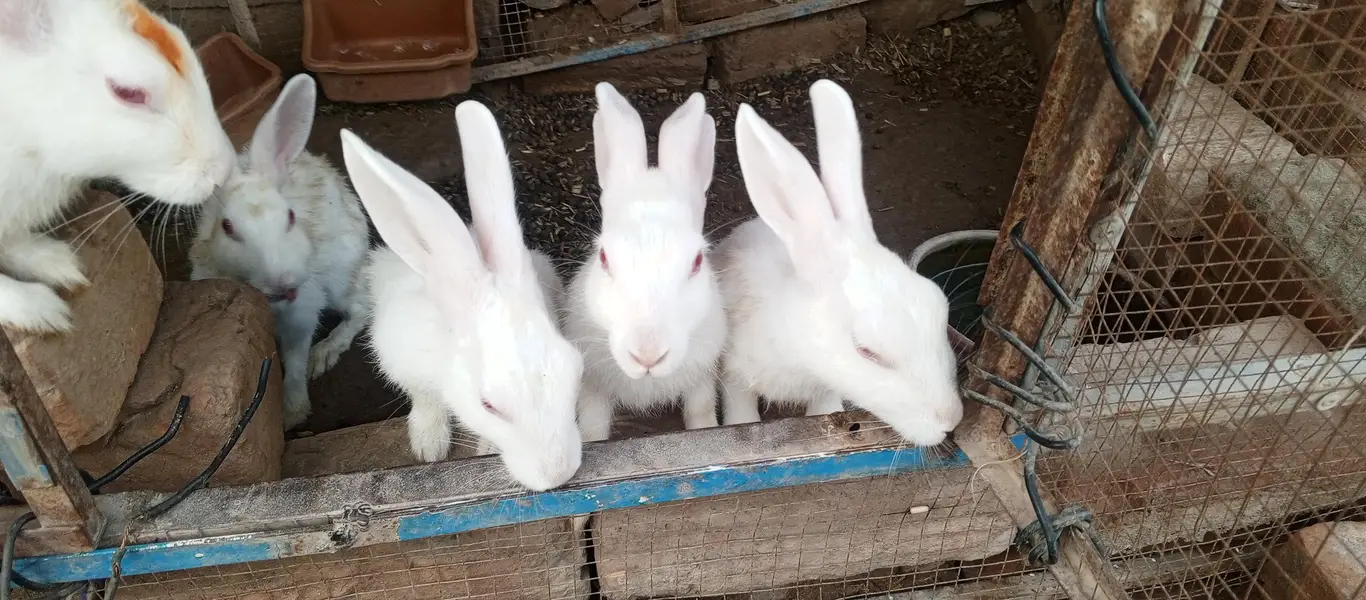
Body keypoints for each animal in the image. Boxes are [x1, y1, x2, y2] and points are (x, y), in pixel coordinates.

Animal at [189, 73, 371, 431]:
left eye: (290, 216)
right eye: (228, 227)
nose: (285, 285)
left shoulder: (304, 308)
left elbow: (296, 357)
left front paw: (292, 413)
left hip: (341, 278)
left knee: (362, 309)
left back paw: (324, 353)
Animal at [340, 100, 585, 492]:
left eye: (575, 372)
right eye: (488, 405)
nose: (558, 474)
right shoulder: (402, 362)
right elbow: (425, 400)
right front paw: (429, 445)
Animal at [563, 83, 728, 443]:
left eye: (696, 262)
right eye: (604, 258)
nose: (647, 355)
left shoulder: (702, 377)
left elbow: (701, 412)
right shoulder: (593, 387)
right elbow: (593, 427)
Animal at [716, 79, 963, 447]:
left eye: (941, 309)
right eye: (866, 351)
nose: (950, 419)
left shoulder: (825, 391)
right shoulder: (734, 374)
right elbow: (740, 417)